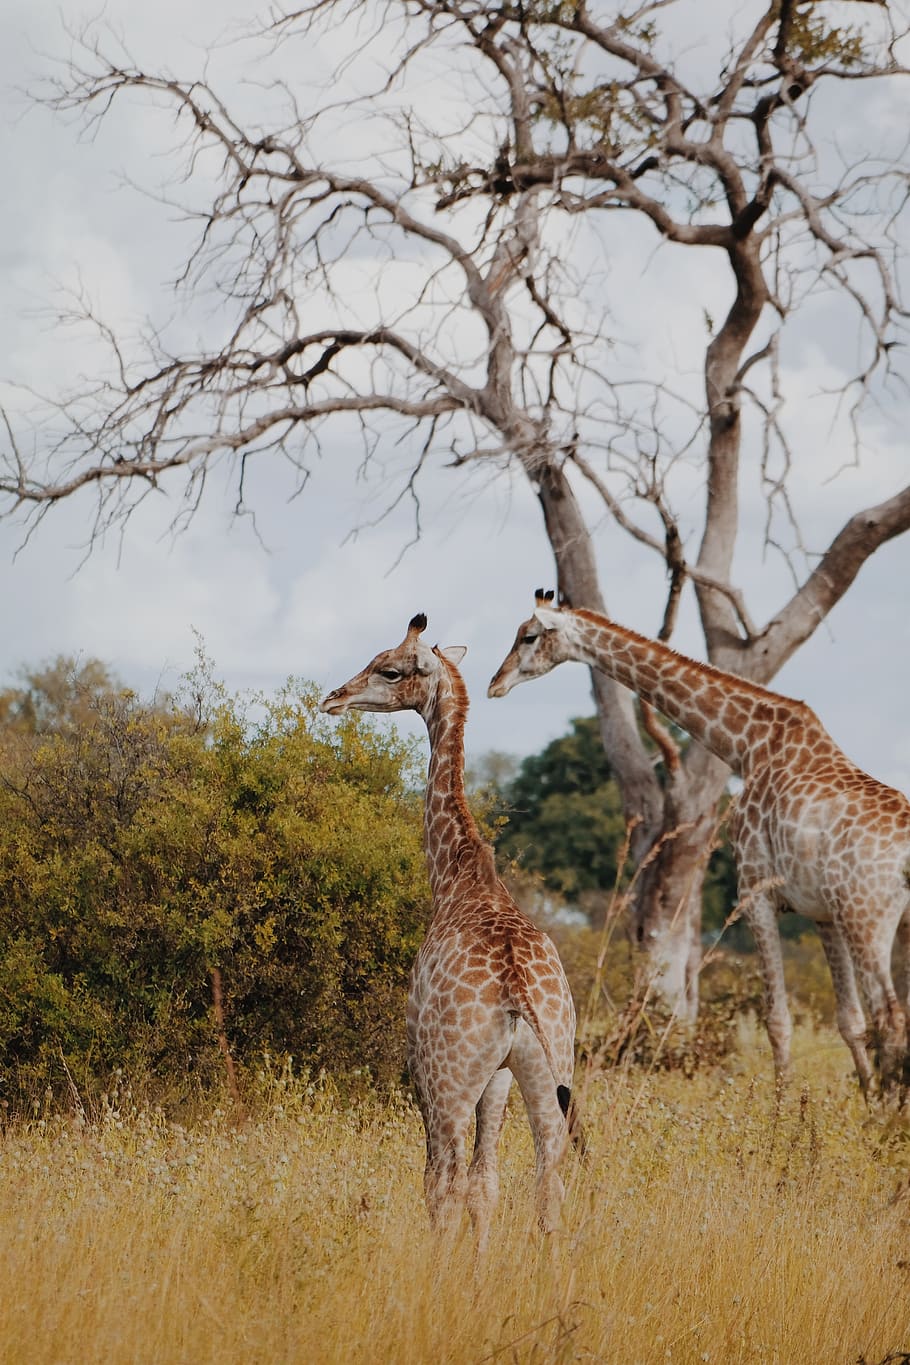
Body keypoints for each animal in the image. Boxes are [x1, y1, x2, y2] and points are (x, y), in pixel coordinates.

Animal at [320, 614, 580, 1250]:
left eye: (390, 669)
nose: (333, 698)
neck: (458, 875)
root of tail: (518, 989)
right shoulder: (501, 1078)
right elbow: (487, 1186)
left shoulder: (423, 1068)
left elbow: (448, 1184)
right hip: (548, 1077)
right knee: (547, 1184)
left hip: (449, 1079)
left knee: (443, 1180)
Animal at [488, 593, 910, 1096]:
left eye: (529, 636)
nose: (494, 684)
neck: (747, 746)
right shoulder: (821, 912)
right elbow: (849, 1021)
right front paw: (862, 1098)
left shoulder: (755, 891)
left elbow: (778, 1019)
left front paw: (785, 1107)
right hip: (876, 919)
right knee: (886, 1018)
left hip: (866, 918)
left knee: (892, 1016)